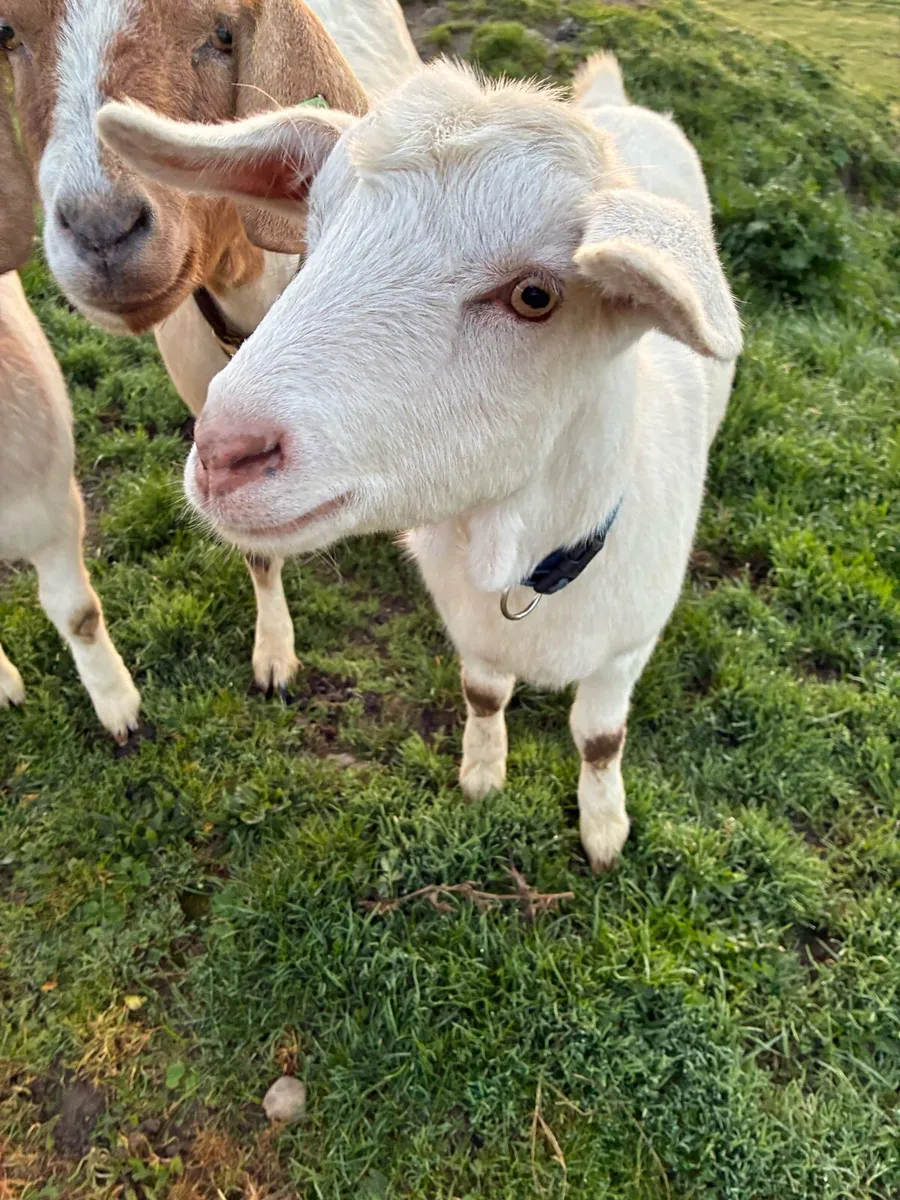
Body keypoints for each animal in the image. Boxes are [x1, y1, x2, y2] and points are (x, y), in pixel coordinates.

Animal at [0, 0, 420, 693]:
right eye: (7, 33)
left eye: (225, 30)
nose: (103, 229)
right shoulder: (213, 420)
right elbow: (256, 549)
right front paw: (274, 652)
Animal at [97, 55, 742, 867]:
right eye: (312, 235)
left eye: (536, 296)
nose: (225, 452)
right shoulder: (472, 630)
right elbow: (485, 697)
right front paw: (483, 774)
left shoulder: (627, 649)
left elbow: (599, 740)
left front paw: (603, 828)